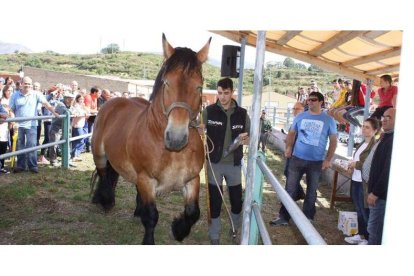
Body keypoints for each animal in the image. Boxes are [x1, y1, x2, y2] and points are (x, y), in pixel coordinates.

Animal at [92, 34, 212, 244]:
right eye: (167, 83)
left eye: (199, 86)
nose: (176, 138)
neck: (173, 153)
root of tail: (113, 102)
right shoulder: (146, 180)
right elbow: (151, 216)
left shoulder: (192, 180)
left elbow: (193, 212)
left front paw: (179, 229)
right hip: (99, 154)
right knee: (104, 174)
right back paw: (105, 200)